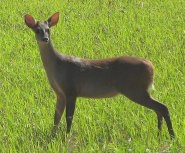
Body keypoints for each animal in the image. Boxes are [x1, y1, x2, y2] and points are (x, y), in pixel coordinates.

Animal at [24, 12, 175, 139]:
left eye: (48, 29)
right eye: (37, 30)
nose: (45, 39)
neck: (57, 66)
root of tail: (151, 66)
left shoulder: (71, 89)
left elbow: (69, 117)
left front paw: (66, 137)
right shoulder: (60, 93)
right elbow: (56, 117)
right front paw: (52, 137)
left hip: (135, 89)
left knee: (163, 107)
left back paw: (172, 136)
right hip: (140, 89)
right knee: (158, 109)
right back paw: (159, 134)